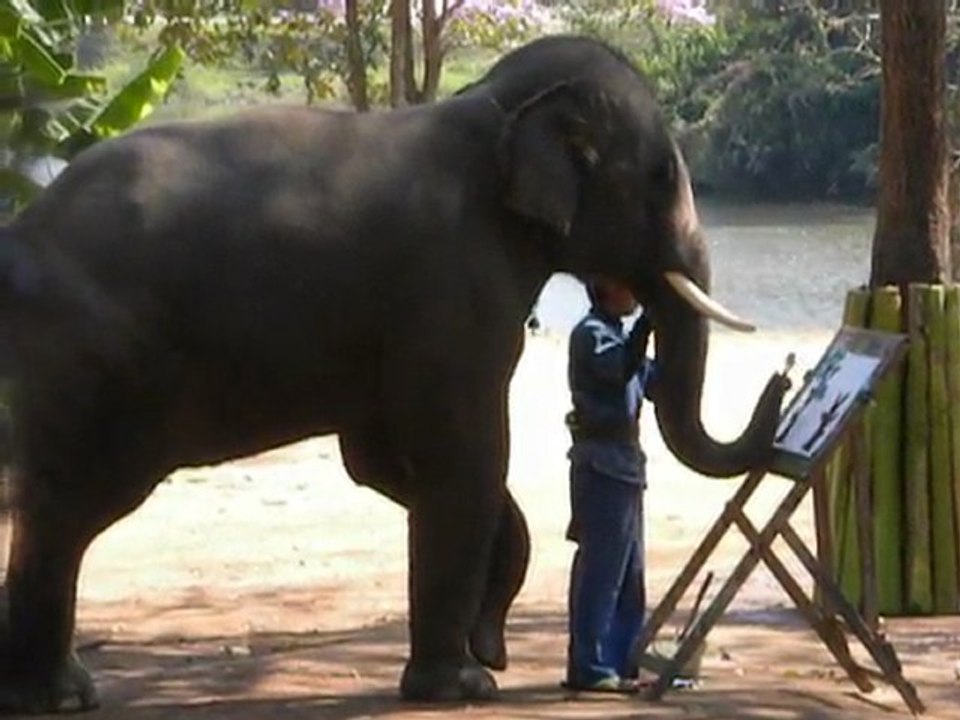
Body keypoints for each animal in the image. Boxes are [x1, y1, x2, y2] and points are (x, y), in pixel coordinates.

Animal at [0, 34, 790, 713]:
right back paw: (58, 695)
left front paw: (482, 647)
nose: (783, 379)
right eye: (661, 176)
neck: (491, 107)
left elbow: (384, 462)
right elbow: (467, 452)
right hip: (96, 362)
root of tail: (22, 231)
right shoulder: (456, 288)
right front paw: (466, 685)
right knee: (75, 503)